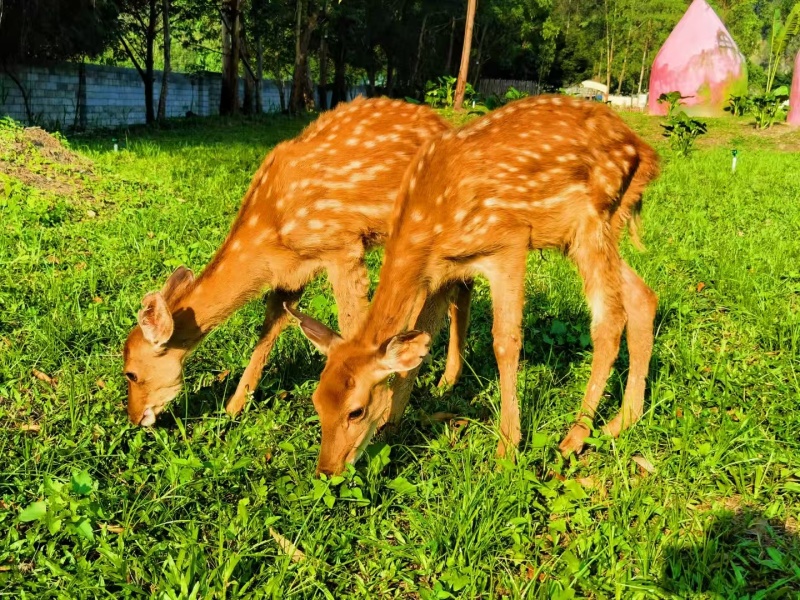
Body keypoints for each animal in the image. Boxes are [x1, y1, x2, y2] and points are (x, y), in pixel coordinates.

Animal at [122, 97, 473, 428]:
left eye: (131, 373)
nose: (135, 418)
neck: (268, 230)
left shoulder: (342, 246)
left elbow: (351, 321)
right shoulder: (290, 273)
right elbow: (269, 329)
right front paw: (233, 408)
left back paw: (442, 378)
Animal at [288, 95, 660, 475]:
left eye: (356, 411)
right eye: (317, 402)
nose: (327, 470)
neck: (430, 220)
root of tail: (647, 154)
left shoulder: (509, 242)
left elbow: (505, 342)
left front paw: (507, 448)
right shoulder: (444, 270)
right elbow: (423, 337)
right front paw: (391, 427)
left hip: (592, 222)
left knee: (609, 318)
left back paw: (574, 438)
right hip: (590, 230)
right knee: (642, 295)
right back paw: (621, 422)